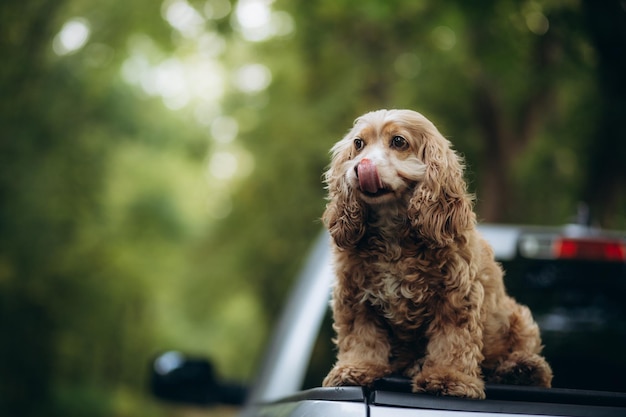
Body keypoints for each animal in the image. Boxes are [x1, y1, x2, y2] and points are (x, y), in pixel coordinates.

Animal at [322, 109, 552, 398]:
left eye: (399, 141)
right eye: (358, 144)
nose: (359, 167)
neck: (393, 232)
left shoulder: (456, 295)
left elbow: (452, 340)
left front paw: (448, 378)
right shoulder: (355, 296)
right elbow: (362, 337)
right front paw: (356, 369)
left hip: (519, 319)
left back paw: (522, 370)